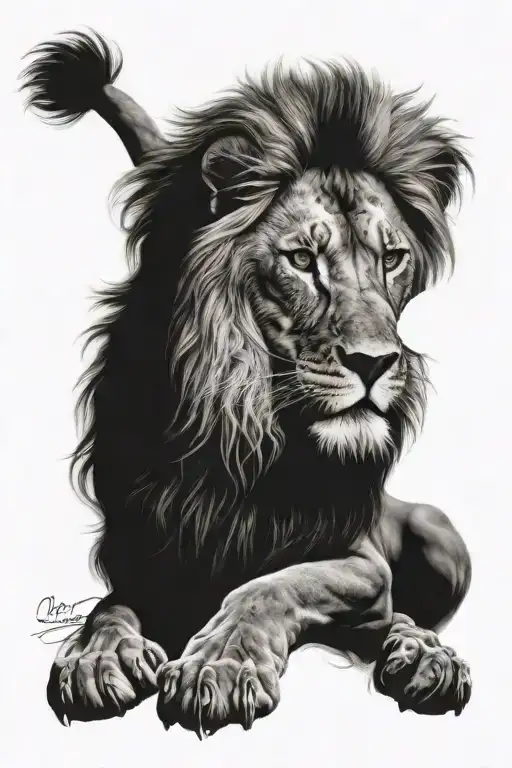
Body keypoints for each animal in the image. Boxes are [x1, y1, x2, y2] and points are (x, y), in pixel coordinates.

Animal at [21, 30, 473, 735]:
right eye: (302, 259)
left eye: (392, 259)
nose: (375, 363)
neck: (244, 432)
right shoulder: (147, 554)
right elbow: (109, 607)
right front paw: (97, 660)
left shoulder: (362, 564)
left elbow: (275, 584)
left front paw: (220, 667)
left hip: (439, 534)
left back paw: (424, 655)